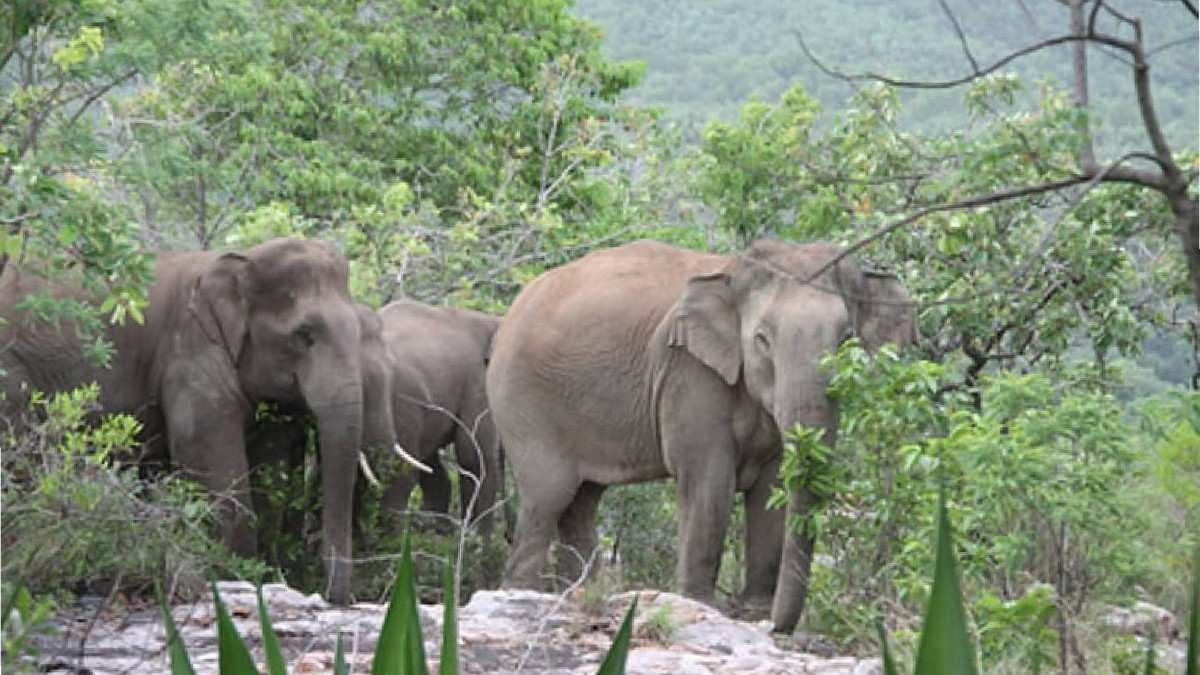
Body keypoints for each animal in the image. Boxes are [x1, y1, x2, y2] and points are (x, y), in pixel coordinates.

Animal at [0, 238, 401, 604]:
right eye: (304, 335)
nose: (335, 597)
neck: (241, 261)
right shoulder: (190, 351)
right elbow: (205, 449)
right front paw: (236, 575)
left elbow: (268, 460)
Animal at [486, 238, 915, 633]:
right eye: (762, 340)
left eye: (847, 339)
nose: (773, 628)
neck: (734, 272)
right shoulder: (689, 372)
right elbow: (708, 483)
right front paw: (700, 604)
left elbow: (772, 488)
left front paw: (753, 611)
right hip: (523, 404)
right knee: (548, 497)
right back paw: (522, 593)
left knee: (581, 502)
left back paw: (580, 593)